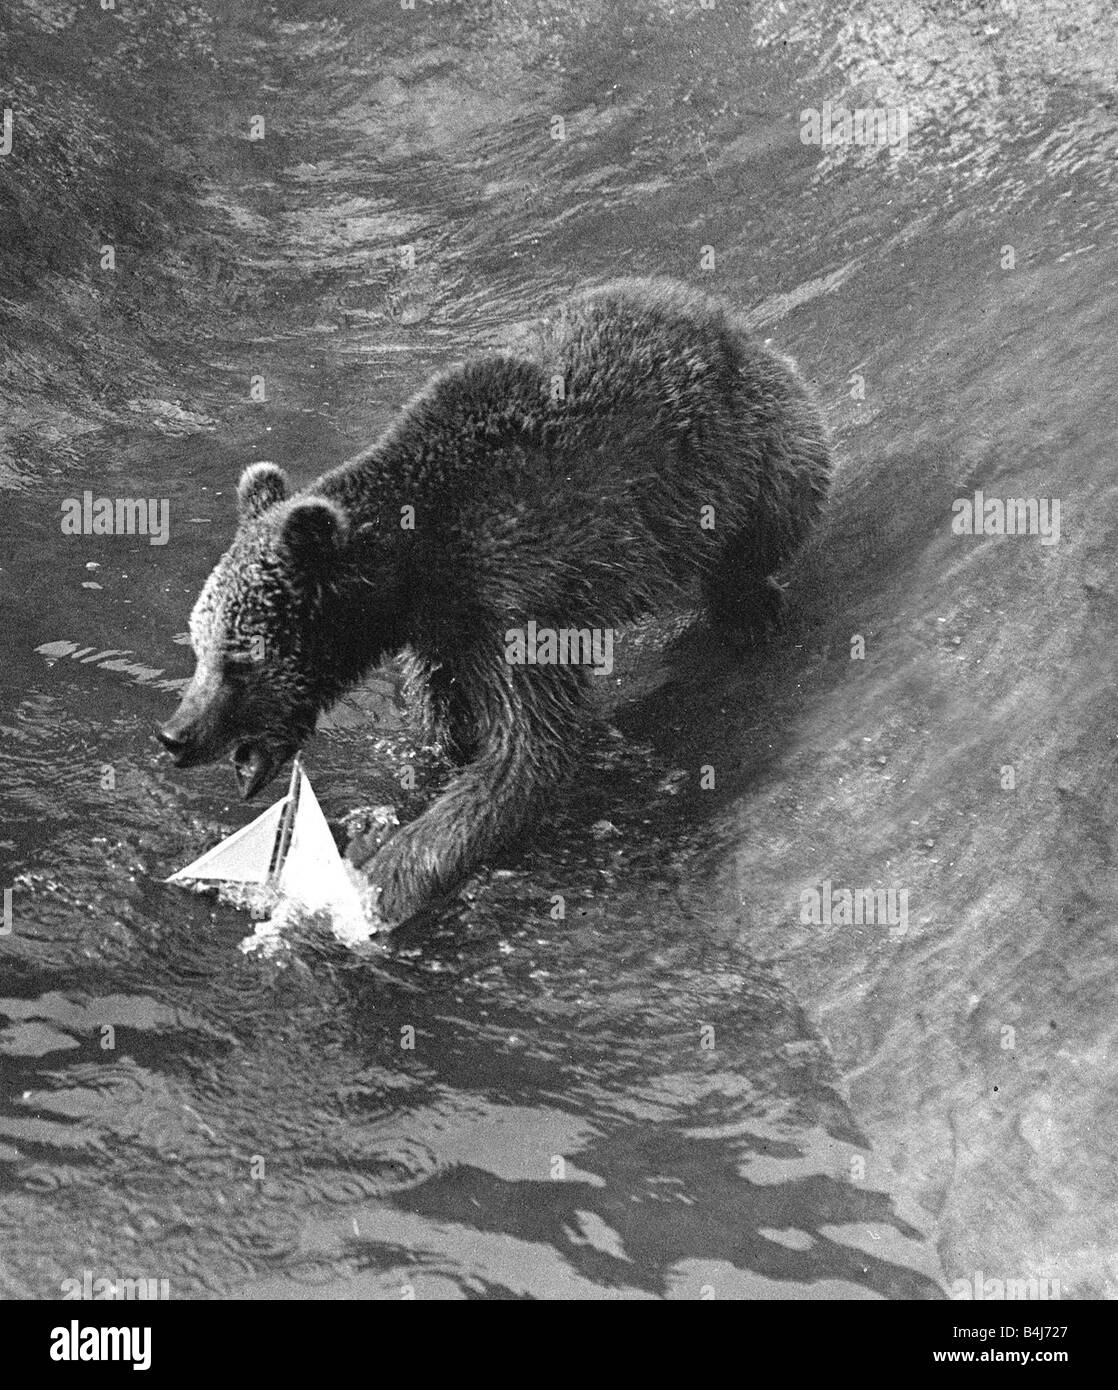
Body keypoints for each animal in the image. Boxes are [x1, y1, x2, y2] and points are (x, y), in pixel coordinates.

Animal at [161, 278, 834, 922]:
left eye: (240, 657)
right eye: (199, 645)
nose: (176, 735)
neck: (416, 571)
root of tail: (708, 308)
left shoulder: (514, 596)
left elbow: (525, 751)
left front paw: (375, 883)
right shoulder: (443, 635)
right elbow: (449, 722)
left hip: (738, 447)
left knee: (773, 510)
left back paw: (750, 603)